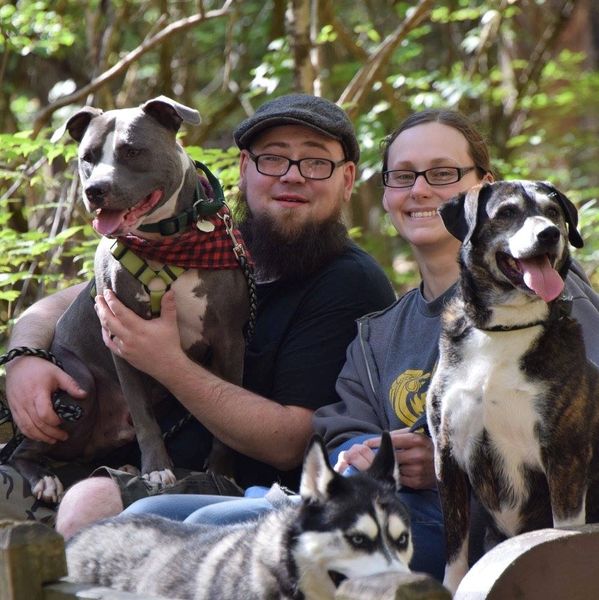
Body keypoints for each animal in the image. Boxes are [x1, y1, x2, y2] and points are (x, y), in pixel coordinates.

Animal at [7, 96, 246, 504]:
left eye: (131, 151)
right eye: (87, 156)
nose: (95, 190)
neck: (167, 244)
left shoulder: (229, 340)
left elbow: (225, 424)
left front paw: (221, 473)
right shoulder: (122, 340)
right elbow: (144, 412)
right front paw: (157, 469)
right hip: (79, 387)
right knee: (22, 451)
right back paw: (44, 479)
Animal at [428, 180, 599, 592]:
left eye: (553, 213)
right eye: (506, 212)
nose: (549, 234)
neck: (506, 328)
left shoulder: (564, 454)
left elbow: (563, 533)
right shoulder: (447, 455)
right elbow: (455, 549)